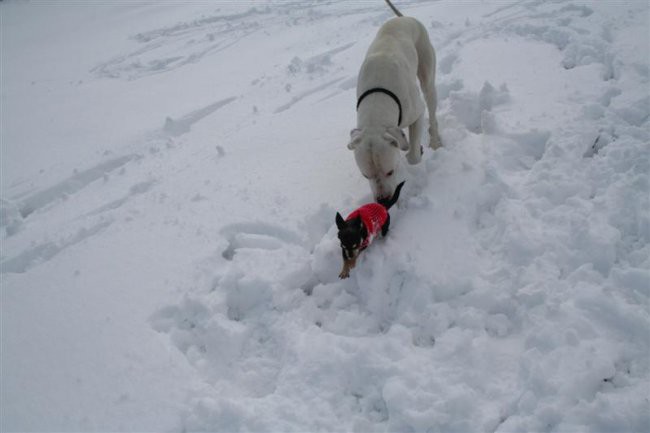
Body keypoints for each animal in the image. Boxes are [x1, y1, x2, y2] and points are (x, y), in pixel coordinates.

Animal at [344, 0, 440, 203]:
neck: (377, 102)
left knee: (432, 107)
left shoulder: (417, 112)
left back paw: (435, 141)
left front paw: (415, 151)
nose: (383, 200)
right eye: (365, 175)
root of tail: (405, 18)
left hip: (427, 74)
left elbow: (413, 156)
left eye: (390, 171)